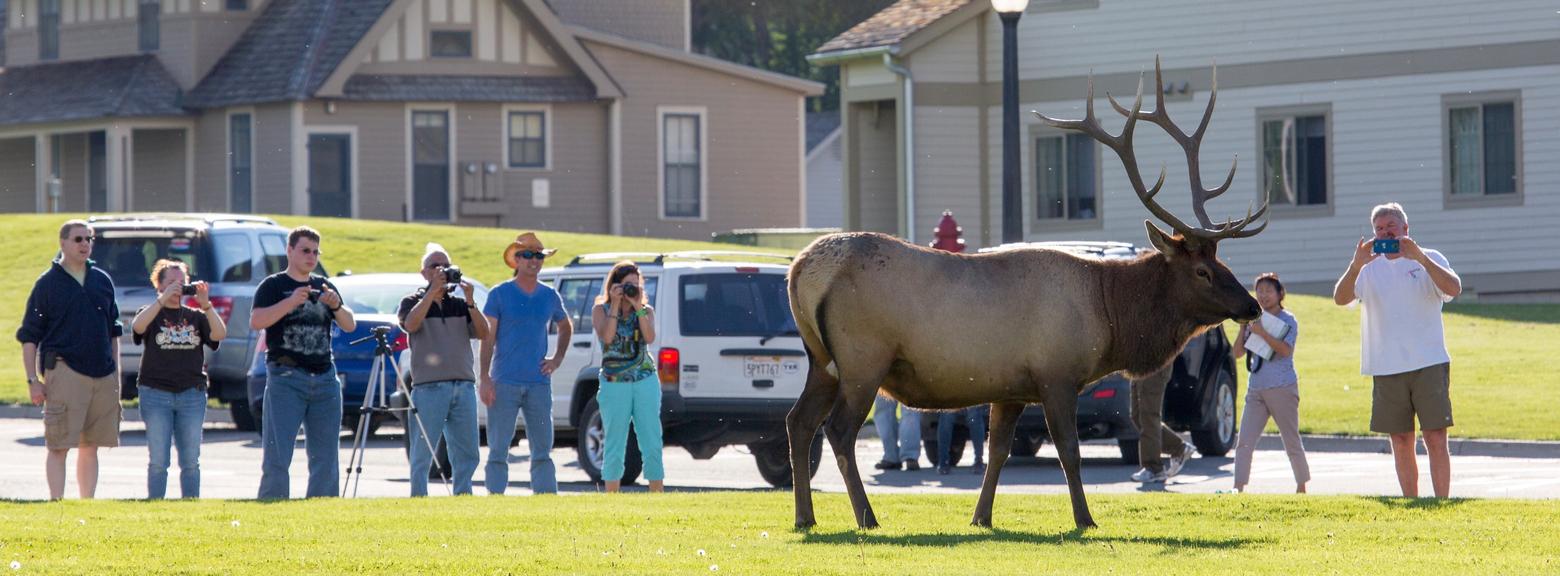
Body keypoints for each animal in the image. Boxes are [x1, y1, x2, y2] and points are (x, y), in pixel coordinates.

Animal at [792, 59, 1266, 530]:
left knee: (798, 422)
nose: (1253, 305)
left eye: (1222, 261)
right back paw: (866, 517)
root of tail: (801, 270)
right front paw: (1085, 519)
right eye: (1203, 271)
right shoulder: (1056, 374)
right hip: (864, 358)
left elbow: (998, 452)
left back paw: (805, 518)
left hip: (822, 361)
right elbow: (1069, 451)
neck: (1109, 315)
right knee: (838, 430)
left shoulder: (1011, 389)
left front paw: (981, 517)